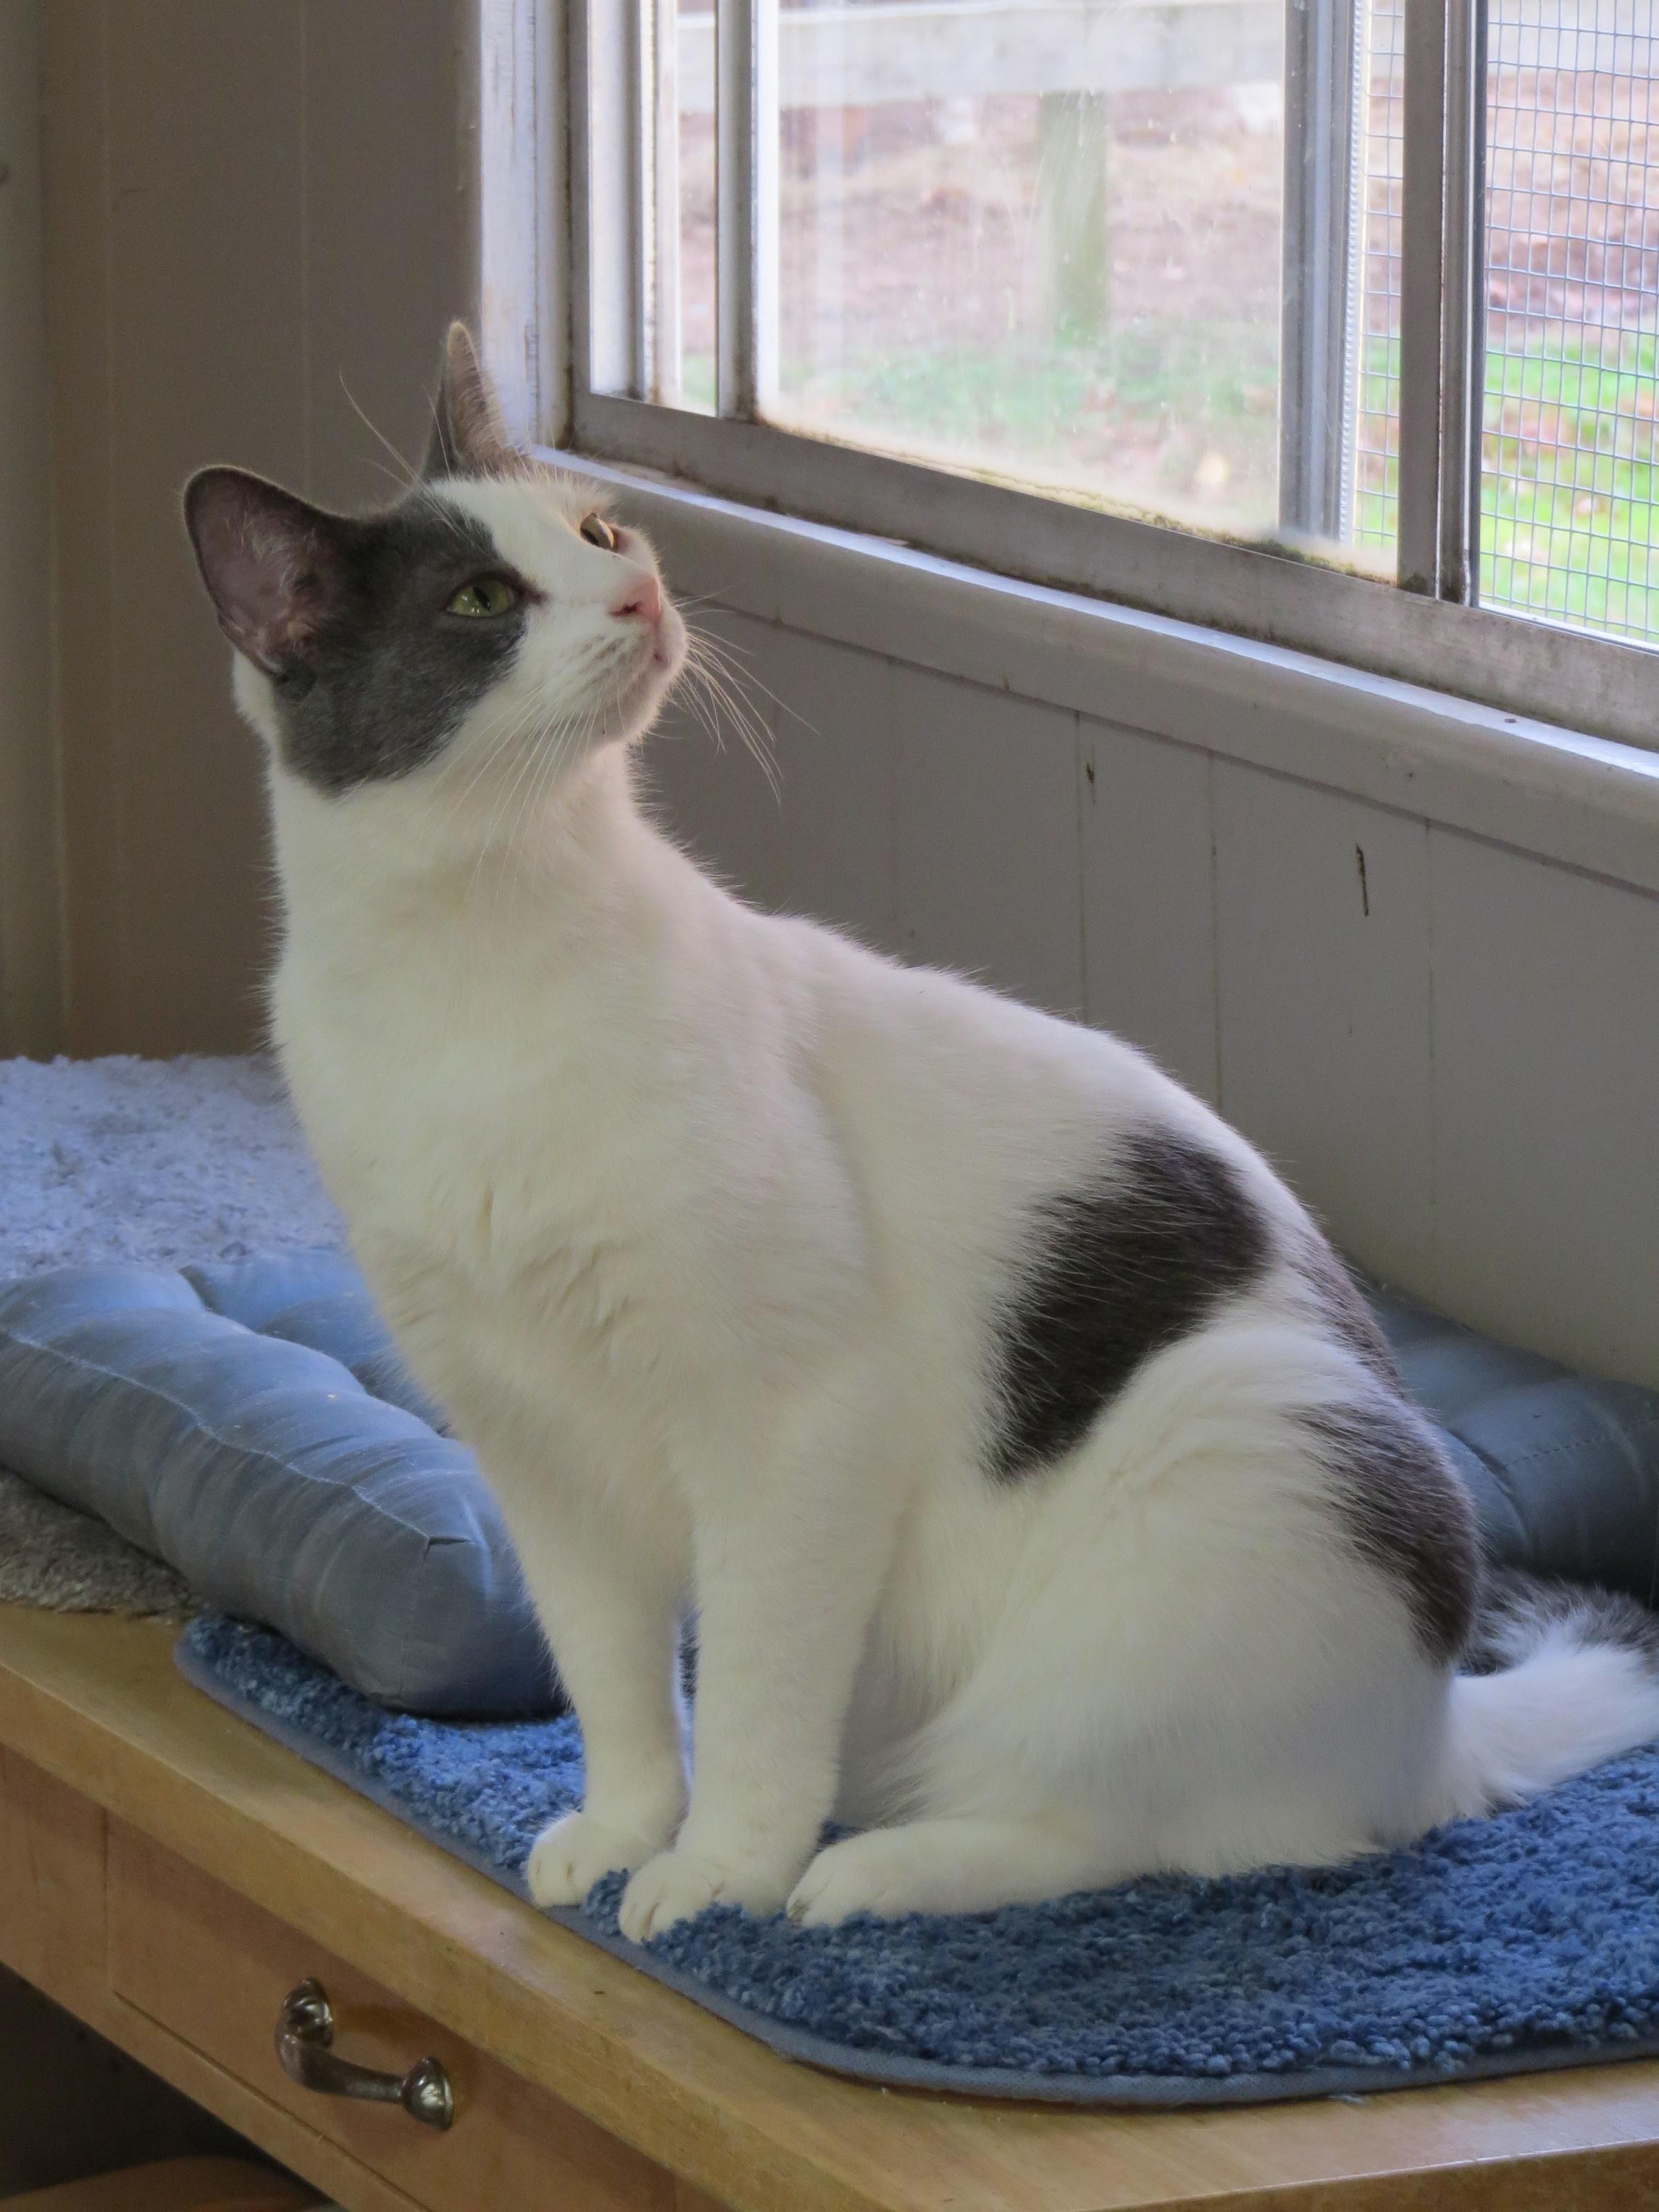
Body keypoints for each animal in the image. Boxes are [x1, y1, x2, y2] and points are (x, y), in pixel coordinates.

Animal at [185, 327, 1659, 1938]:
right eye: (480, 600)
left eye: (597, 533)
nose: (640, 593)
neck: (478, 973)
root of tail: (1435, 1726)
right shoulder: (535, 1453)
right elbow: (613, 1682)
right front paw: (625, 1828)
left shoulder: (796, 1429)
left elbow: (754, 1692)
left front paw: (722, 1873)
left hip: (1232, 1456)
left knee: (1129, 1829)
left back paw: (868, 1871)